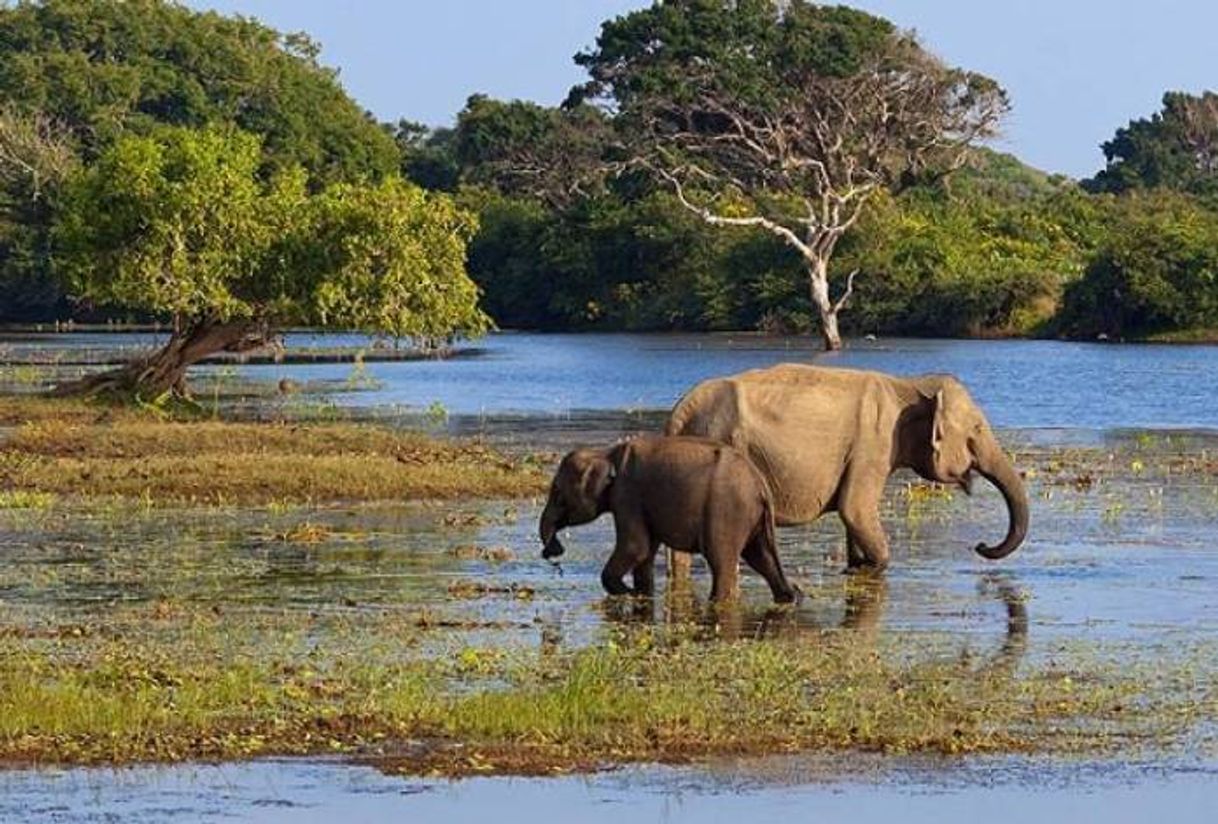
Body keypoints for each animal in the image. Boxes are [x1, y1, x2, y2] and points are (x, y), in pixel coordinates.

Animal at [538, 433, 794, 601]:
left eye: (558, 493)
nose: (555, 551)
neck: (606, 453)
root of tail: (760, 484)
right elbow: (645, 554)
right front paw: (642, 594)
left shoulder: (627, 494)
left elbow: (635, 547)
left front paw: (630, 593)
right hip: (751, 518)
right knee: (762, 558)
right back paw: (790, 597)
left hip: (727, 510)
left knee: (721, 561)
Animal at [667, 365, 1027, 572]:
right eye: (977, 430)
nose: (980, 546)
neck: (909, 384)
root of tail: (680, 412)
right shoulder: (873, 445)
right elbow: (855, 509)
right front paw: (871, 566)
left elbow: (853, 517)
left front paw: (856, 564)